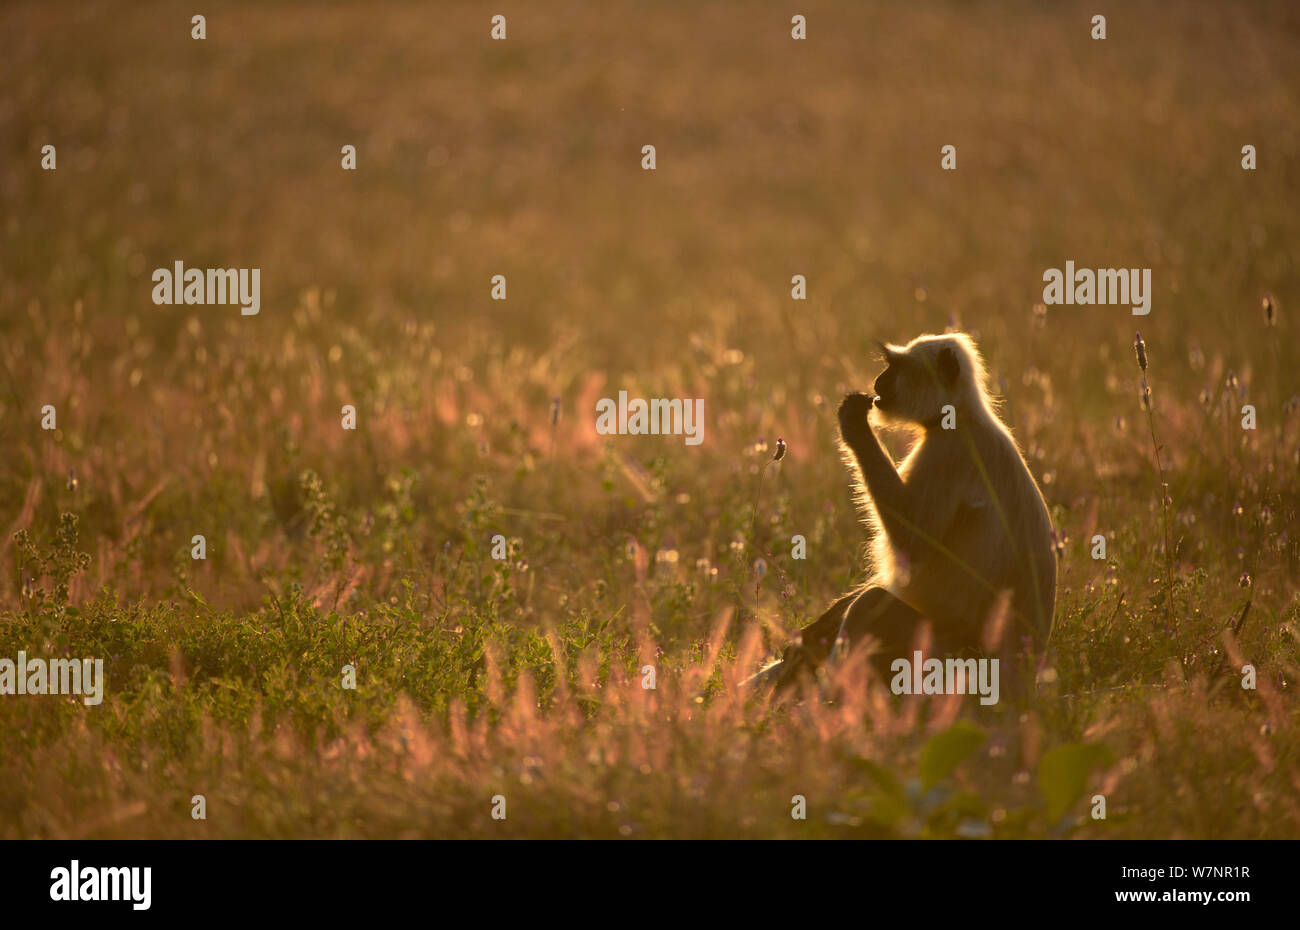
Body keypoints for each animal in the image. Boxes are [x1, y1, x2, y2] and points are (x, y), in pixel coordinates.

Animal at [759, 335, 1055, 691]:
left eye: (895, 368)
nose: (878, 382)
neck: (961, 416)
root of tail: (1024, 673)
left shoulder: (947, 453)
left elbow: (911, 544)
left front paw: (854, 421)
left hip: (946, 660)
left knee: (870, 604)